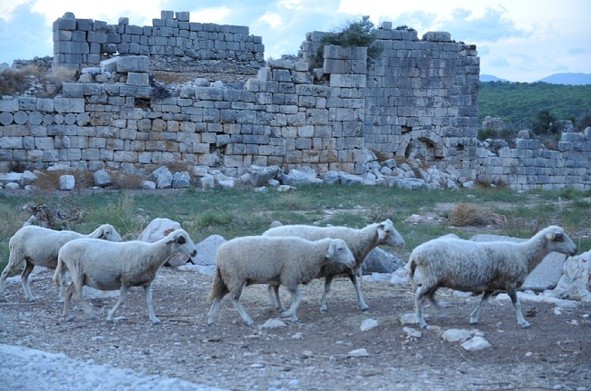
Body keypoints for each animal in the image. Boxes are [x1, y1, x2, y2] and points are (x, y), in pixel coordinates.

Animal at [54, 228, 197, 326]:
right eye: (181, 239)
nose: (195, 252)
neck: (152, 253)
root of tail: (62, 250)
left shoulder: (146, 282)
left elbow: (150, 301)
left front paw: (154, 318)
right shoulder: (126, 280)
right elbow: (122, 300)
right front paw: (110, 316)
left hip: (81, 276)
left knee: (68, 292)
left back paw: (67, 315)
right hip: (76, 270)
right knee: (78, 295)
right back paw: (90, 313)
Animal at [208, 237, 356, 326]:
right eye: (340, 248)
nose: (353, 261)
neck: (310, 252)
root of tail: (218, 254)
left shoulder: (291, 279)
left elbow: (294, 298)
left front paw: (292, 316)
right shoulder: (290, 277)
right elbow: (299, 297)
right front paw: (288, 314)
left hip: (225, 278)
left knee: (219, 297)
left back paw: (211, 318)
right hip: (235, 277)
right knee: (234, 299)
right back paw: (248, 319)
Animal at [264, 220, 408, 312]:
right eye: (388, 231)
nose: (402, 243)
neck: (358, 240)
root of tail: (265, 233)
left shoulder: (350, 268)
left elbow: (358, 288)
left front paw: (363, 305)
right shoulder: (332, 270)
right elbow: (327, 289)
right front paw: (322, 306)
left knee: (274, 287)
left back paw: (279, 306)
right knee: (273, 287)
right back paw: (277, 305)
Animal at [408, 225, 580, 330]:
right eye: (559, 237)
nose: (575, 250)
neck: (524, 254)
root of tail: (415, 253)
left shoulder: (492, 285)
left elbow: (483, 302)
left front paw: (473, 318)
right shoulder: (510, 282)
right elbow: (517, 303)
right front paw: (523, 322)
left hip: (436, 279)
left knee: (429, 296)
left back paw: (440, 312)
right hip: (430, 277)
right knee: (419, 297)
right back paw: (421, 321)